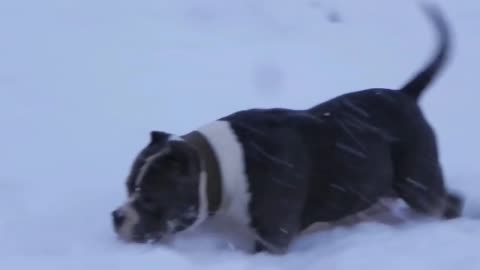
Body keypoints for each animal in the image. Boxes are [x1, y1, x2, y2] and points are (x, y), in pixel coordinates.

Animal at [112, 3, 464, 254]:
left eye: (150, 198)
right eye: (128, 187)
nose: (117, 216)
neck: (221, 170)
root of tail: (406, 94)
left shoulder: (272, 238)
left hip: (417, 181)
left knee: (443, 202)